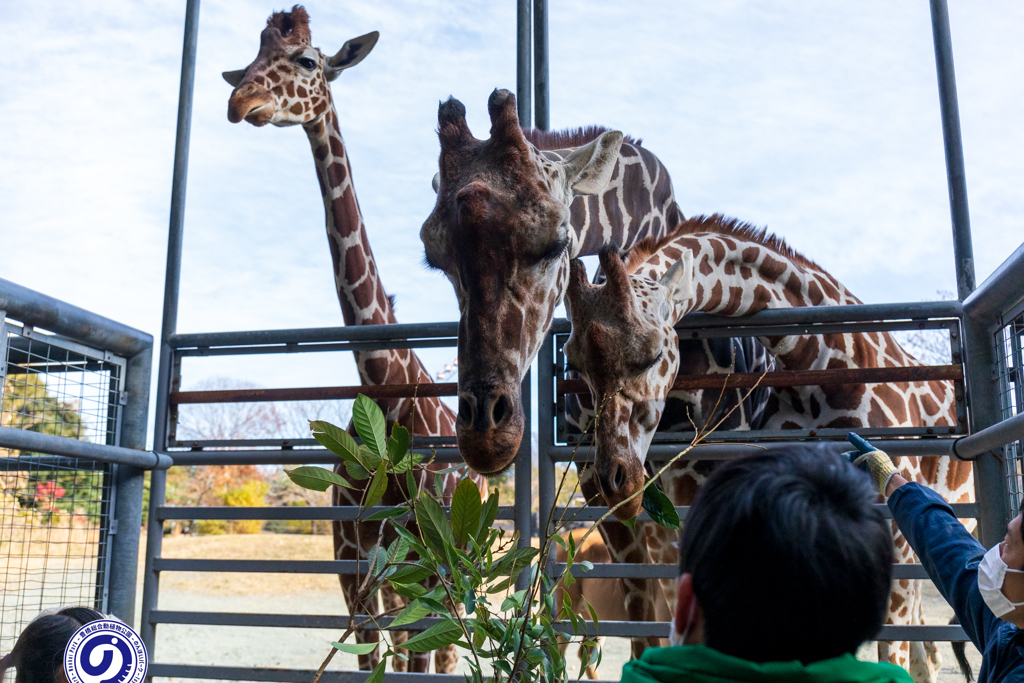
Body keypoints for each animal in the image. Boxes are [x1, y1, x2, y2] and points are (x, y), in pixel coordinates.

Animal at [224, 7, 479, 675]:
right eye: (249, 59)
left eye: (309, 60)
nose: (241, 100)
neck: (385, 390)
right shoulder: (353, 570)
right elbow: (370, 659)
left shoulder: (429, 570)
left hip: (455, 571)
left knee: (450, 652)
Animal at [565, 215, 970, 683]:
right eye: (574, 364)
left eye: (651, 355)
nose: (617, 484)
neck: (821, 367)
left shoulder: (896, 531)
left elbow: (892, 653)